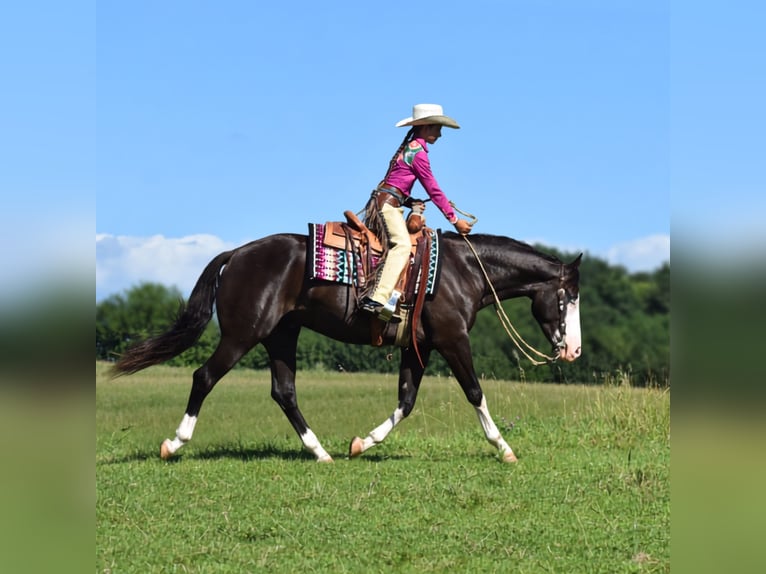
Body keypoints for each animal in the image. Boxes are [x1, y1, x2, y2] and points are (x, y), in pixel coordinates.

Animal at [112, 230, 582, 463]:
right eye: (568, 297)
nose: (573, 351)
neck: (461, 271)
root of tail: (238, 253)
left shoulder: (419, 348)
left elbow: (406, 401)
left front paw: (362, 443)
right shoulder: (453, 340)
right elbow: (475, 393)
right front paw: (504, 449)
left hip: (281, 337)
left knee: (284, 392)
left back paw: (321, 453)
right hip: (242, 335)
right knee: (204, 377)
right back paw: (174, 444)